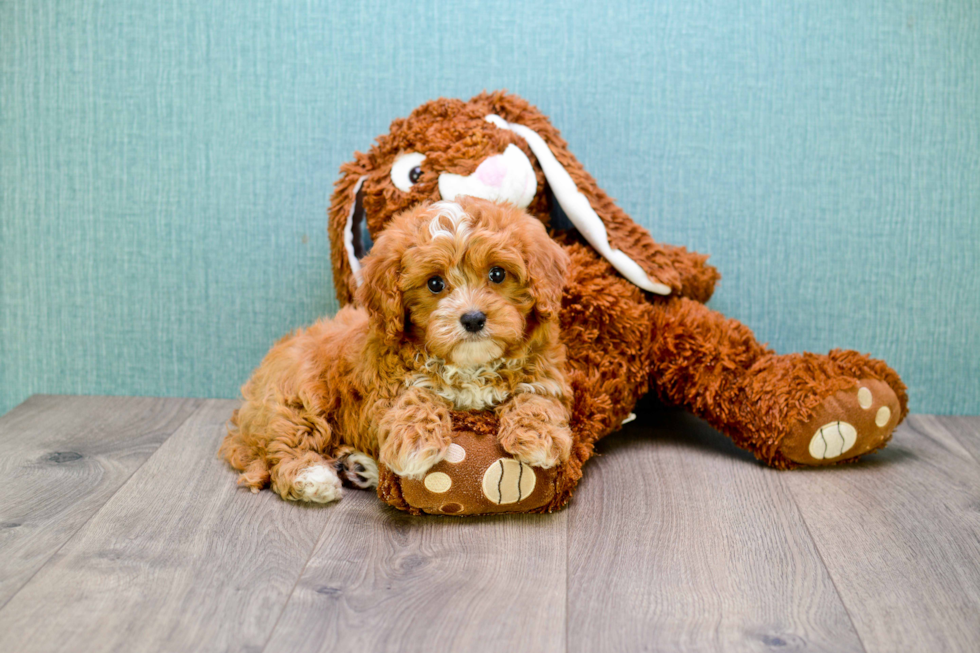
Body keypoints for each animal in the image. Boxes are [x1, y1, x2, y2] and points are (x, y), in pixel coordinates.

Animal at [220, 196, 576, 502]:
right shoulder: (383, 387)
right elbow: (415, 396)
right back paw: (311, 477)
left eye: (498, 273)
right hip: (298, 399)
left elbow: (537, 397)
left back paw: (357, 467)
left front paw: (537, 436)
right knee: (284, 447)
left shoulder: (546, 373)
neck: (470, 366)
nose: (473, 318)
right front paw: (416, 442)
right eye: (435, 283)